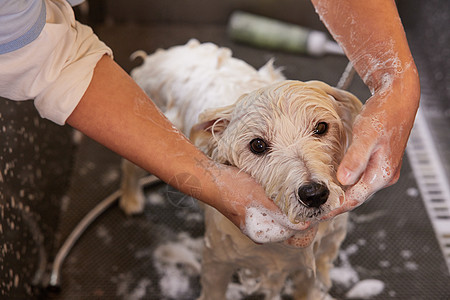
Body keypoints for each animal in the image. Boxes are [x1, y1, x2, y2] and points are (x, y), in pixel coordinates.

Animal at [122, 40, 362, 300]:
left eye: (321, 127)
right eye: (257, 145)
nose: (314, 194)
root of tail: (170, 52)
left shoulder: (318, 257)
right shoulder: (217, 262)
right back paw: (130, 199)